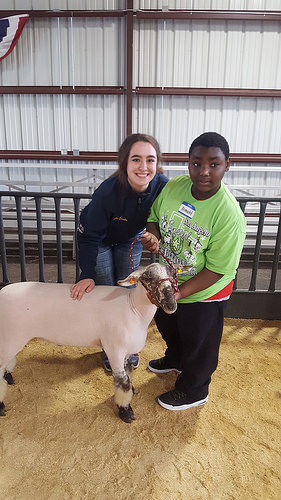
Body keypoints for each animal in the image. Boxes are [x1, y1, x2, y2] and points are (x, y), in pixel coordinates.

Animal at [0, 264, 177, 424]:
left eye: (174, 275)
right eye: (147, 278)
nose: (171, 305)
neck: (133, 308)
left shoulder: (126, 351)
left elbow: (129, 374)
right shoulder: (114, 349)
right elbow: (123, 382)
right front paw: (125, 412)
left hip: (12, 337)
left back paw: (8, 377)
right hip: (11, 336)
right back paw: (1, 406)